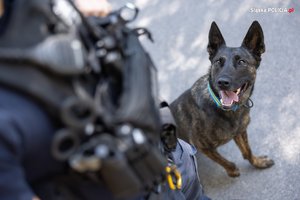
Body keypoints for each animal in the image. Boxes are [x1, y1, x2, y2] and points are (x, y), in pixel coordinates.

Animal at [170, 20, 274, 177]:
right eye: (218, 61)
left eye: (241, 62)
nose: (222, 82)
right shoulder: (202, 146)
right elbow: (223, 160)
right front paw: (232, 171)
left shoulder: (240, 131)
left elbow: (247, 151)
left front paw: (258, 162)